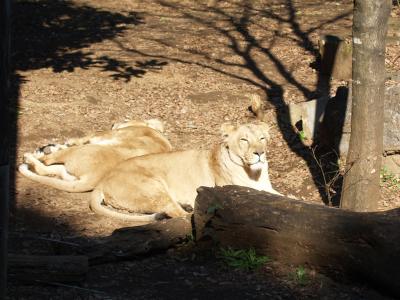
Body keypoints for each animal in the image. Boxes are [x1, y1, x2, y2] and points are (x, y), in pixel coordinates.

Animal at [18, 119, 172, 192]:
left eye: (125, 120)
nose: (113, 123)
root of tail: (94, 179)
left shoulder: (104, 135)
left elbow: (85, 137)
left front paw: (65, 142)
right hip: (66, 172)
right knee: (46, 169)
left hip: (82, 150)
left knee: (45, 162)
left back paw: (30, 156)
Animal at [90, 120, 282, 221]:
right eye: (244, 140)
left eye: (262, 138)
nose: (260, 153)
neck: (254, 174)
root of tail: (102, 181)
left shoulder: (267, 188)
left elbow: (284, 197)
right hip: (152, 188)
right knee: (176, 213)